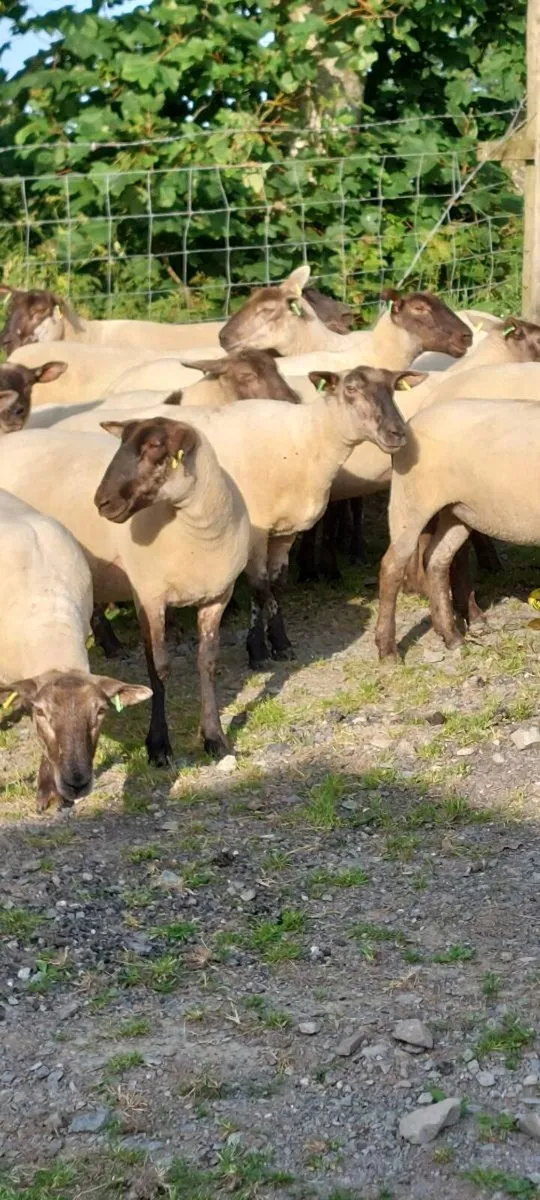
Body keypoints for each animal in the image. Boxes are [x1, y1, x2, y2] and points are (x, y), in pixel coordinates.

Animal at [0, 422, 250, 766]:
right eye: (121, 445)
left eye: (155, 448)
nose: (101, 502)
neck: (199, 532)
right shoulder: (148, 597)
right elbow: (158, 670)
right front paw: (158, 746)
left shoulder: (218, 597)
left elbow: (208, 664)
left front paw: (214, 737)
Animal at [56, 368, 421, 669]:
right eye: (351, 390)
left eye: (393, 388)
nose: (397, 433)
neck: (304, 442)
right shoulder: (255, 531)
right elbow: (260, 588)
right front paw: (258, 651)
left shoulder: (284, 531)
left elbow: (276, 585)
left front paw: (281, 643)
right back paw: (110, 643)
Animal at [374, 397, 540, 660]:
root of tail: (412, 423)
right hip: (411, 501)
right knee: (392, 566)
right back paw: (388, 650)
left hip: (456, 510)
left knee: (437, 559)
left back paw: (451, 636)